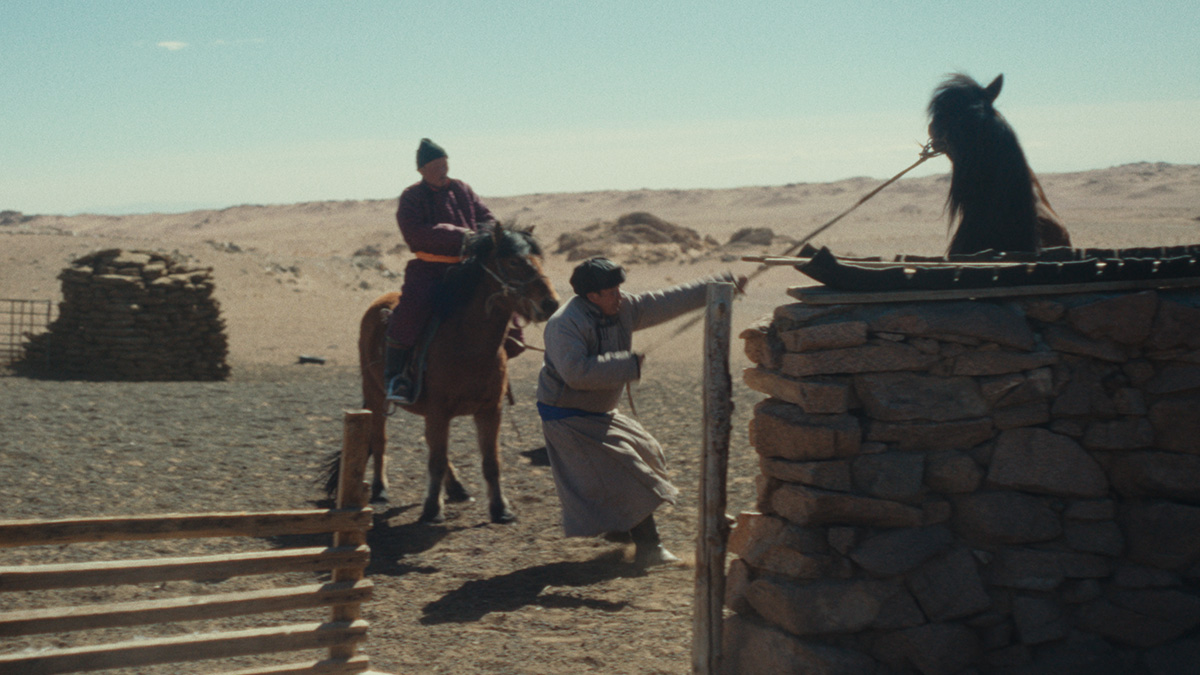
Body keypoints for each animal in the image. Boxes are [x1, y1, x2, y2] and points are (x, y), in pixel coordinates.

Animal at [323, 223, 560, 524]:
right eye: (513, 262)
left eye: (539, 260)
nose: (551, 303)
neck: (468, 345)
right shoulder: (438, 410)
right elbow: (435, 460)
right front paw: (432, 510)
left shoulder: (489, 411)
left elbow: (490, 461)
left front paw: (500, 509)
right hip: (374, 393)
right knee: (380, 439)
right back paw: (380, 490)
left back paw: (457, 488)